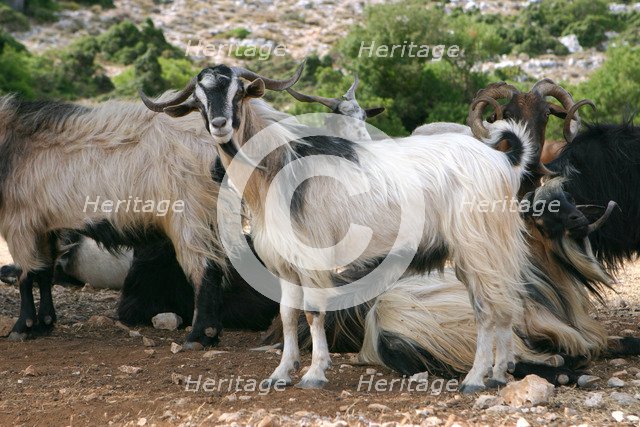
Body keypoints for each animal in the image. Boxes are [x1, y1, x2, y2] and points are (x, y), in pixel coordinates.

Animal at [141, 63, 537, 393]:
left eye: (239, 91)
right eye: (199, 100)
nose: (220, 124)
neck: (277, 168)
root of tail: (501, 160)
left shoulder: (314, 257)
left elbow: (313, 312)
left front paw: (315, 373)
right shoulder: (284, 262)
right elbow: (288, 314)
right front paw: (280, 373)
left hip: (478, 244)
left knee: (487, 308)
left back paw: (475, 379)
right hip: (485, 250)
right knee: (504, 303)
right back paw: (499, 375)